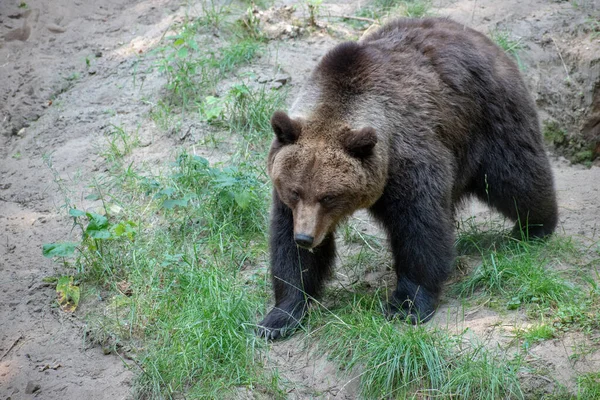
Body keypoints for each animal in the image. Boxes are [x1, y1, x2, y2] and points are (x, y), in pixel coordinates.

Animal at [256, 17, 556, 340]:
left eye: (329, 196)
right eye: (295, 191)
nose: (305, 238)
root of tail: (472, 32)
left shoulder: (409, 162)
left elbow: (420, 230)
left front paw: (406, 305)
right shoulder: (290, 198)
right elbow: (290, 252)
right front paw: (280, 316)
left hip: (490, 117)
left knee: (517, 177)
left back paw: (536, 227)